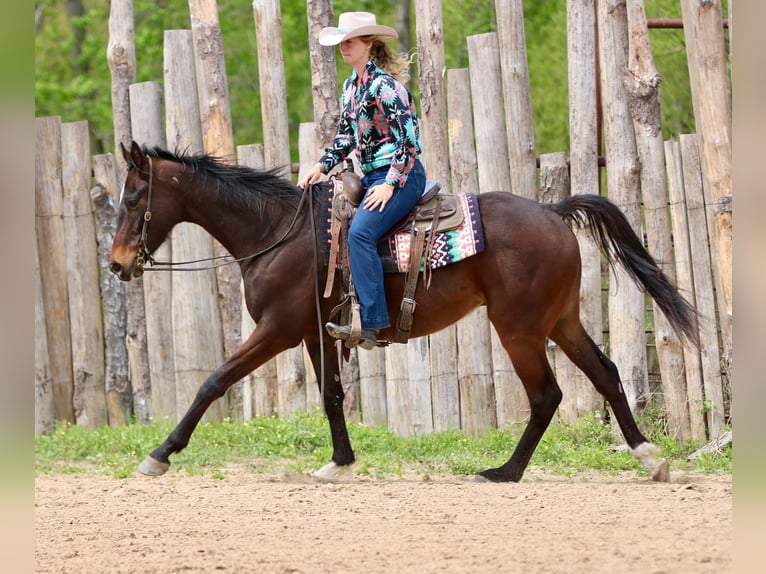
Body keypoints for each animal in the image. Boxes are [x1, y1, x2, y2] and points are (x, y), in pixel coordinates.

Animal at [109, 141, 699, 483]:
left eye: (134, 198)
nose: (116, 264)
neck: (276, 232)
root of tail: (553, 212)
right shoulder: (314, 334)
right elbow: (332, 396)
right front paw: (340, 463)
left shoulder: (276, 330)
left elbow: (214, 381)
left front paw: (160, 454)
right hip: (562, 321)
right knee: (606, 374)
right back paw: (650, 458)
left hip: (520, 329)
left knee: (546, 395)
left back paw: (505, 472)